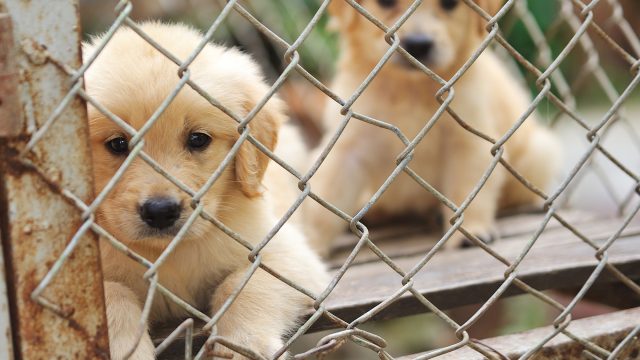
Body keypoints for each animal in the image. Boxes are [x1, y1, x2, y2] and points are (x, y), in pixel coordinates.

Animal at [83, 23, 328, 360]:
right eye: (118, 144)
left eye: (198, 139)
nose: (161, 211)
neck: (167, 253)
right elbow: (112, 293)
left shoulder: (284, 253)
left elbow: (243, 284)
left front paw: (243, 342)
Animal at [304, 0, 560, 256]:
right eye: (386, 2)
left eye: (450, 5)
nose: (418, 45)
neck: (411, 88)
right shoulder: (348, 148)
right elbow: (322, 204)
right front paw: (309, 243)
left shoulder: (468, 141)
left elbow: (466, 189)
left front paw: (471, 230)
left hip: (538, 154)